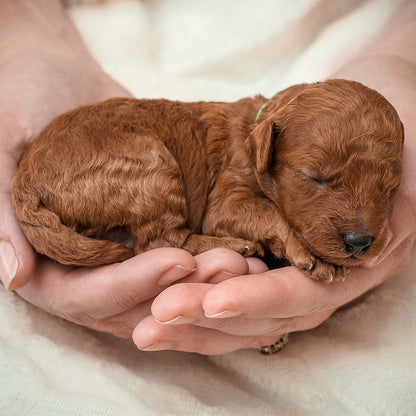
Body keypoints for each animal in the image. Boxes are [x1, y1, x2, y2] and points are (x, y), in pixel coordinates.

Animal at [12, 79, 404, 282]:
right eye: (314, 177)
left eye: (390, 187)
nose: (359, 242)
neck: (253, 134)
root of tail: (24, 177)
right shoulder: (225, 200)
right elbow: (269, 212)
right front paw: (309, 255)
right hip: (151, 164)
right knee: (159, 242)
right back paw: (232, 246)